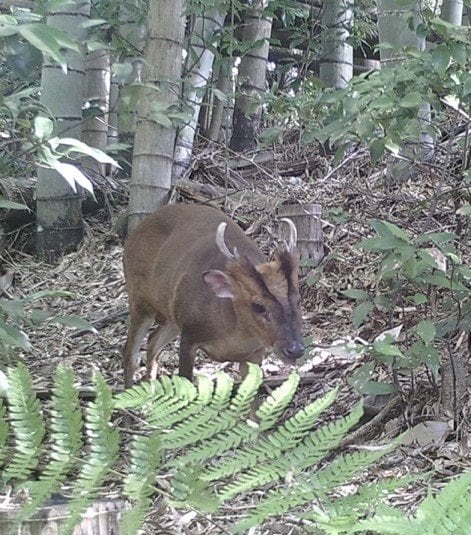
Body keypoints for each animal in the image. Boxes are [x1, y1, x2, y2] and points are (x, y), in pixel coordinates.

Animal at [123, 203, 304, 388]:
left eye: (298, 301)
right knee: (130, 352)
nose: (295, 349)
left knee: (152, 342)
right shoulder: (189, 336)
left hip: (172, 316)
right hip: (139, 298)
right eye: (259, 307)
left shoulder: (255, 353)